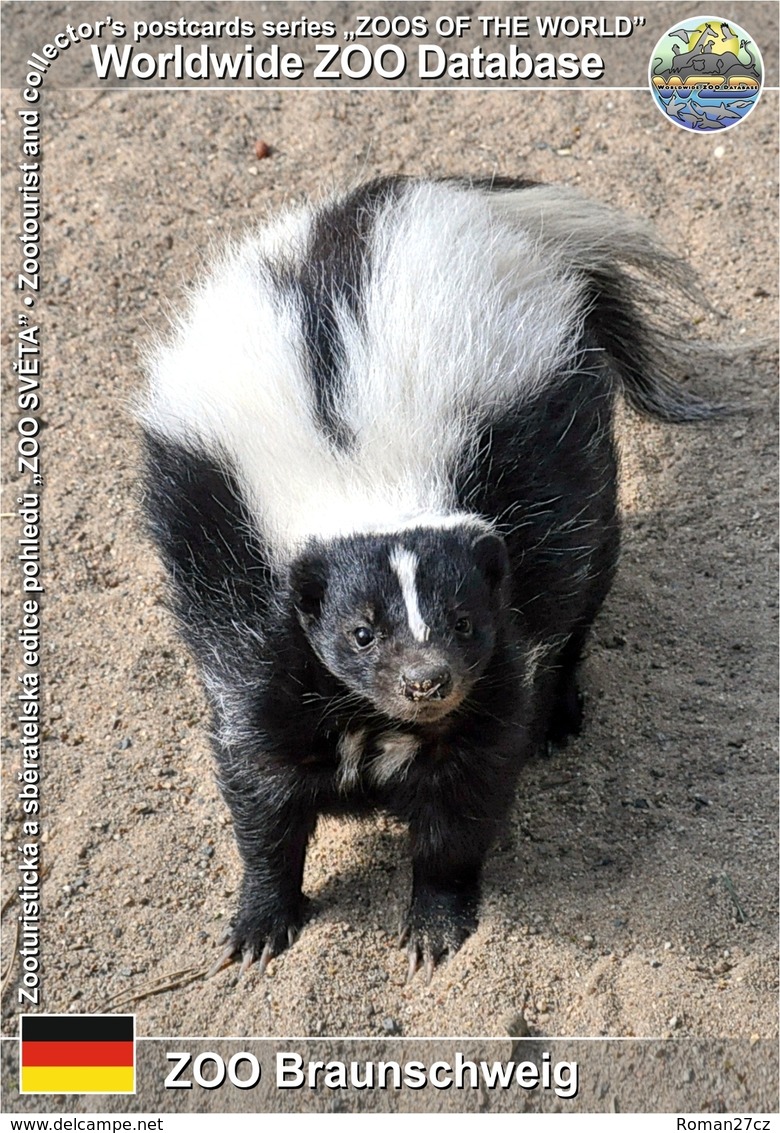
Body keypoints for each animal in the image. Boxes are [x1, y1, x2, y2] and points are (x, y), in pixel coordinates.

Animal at [137, 176, 716, 983]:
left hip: (577, 451)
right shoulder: (248, 611)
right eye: (360, 631)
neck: (364, 479)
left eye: (464, 620)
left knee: (586, 581)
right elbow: (261, 778)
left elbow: (468, 785)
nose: (426, 680)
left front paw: (436, 920)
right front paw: (260, 917)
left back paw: (561, 712)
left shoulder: (502, 626)